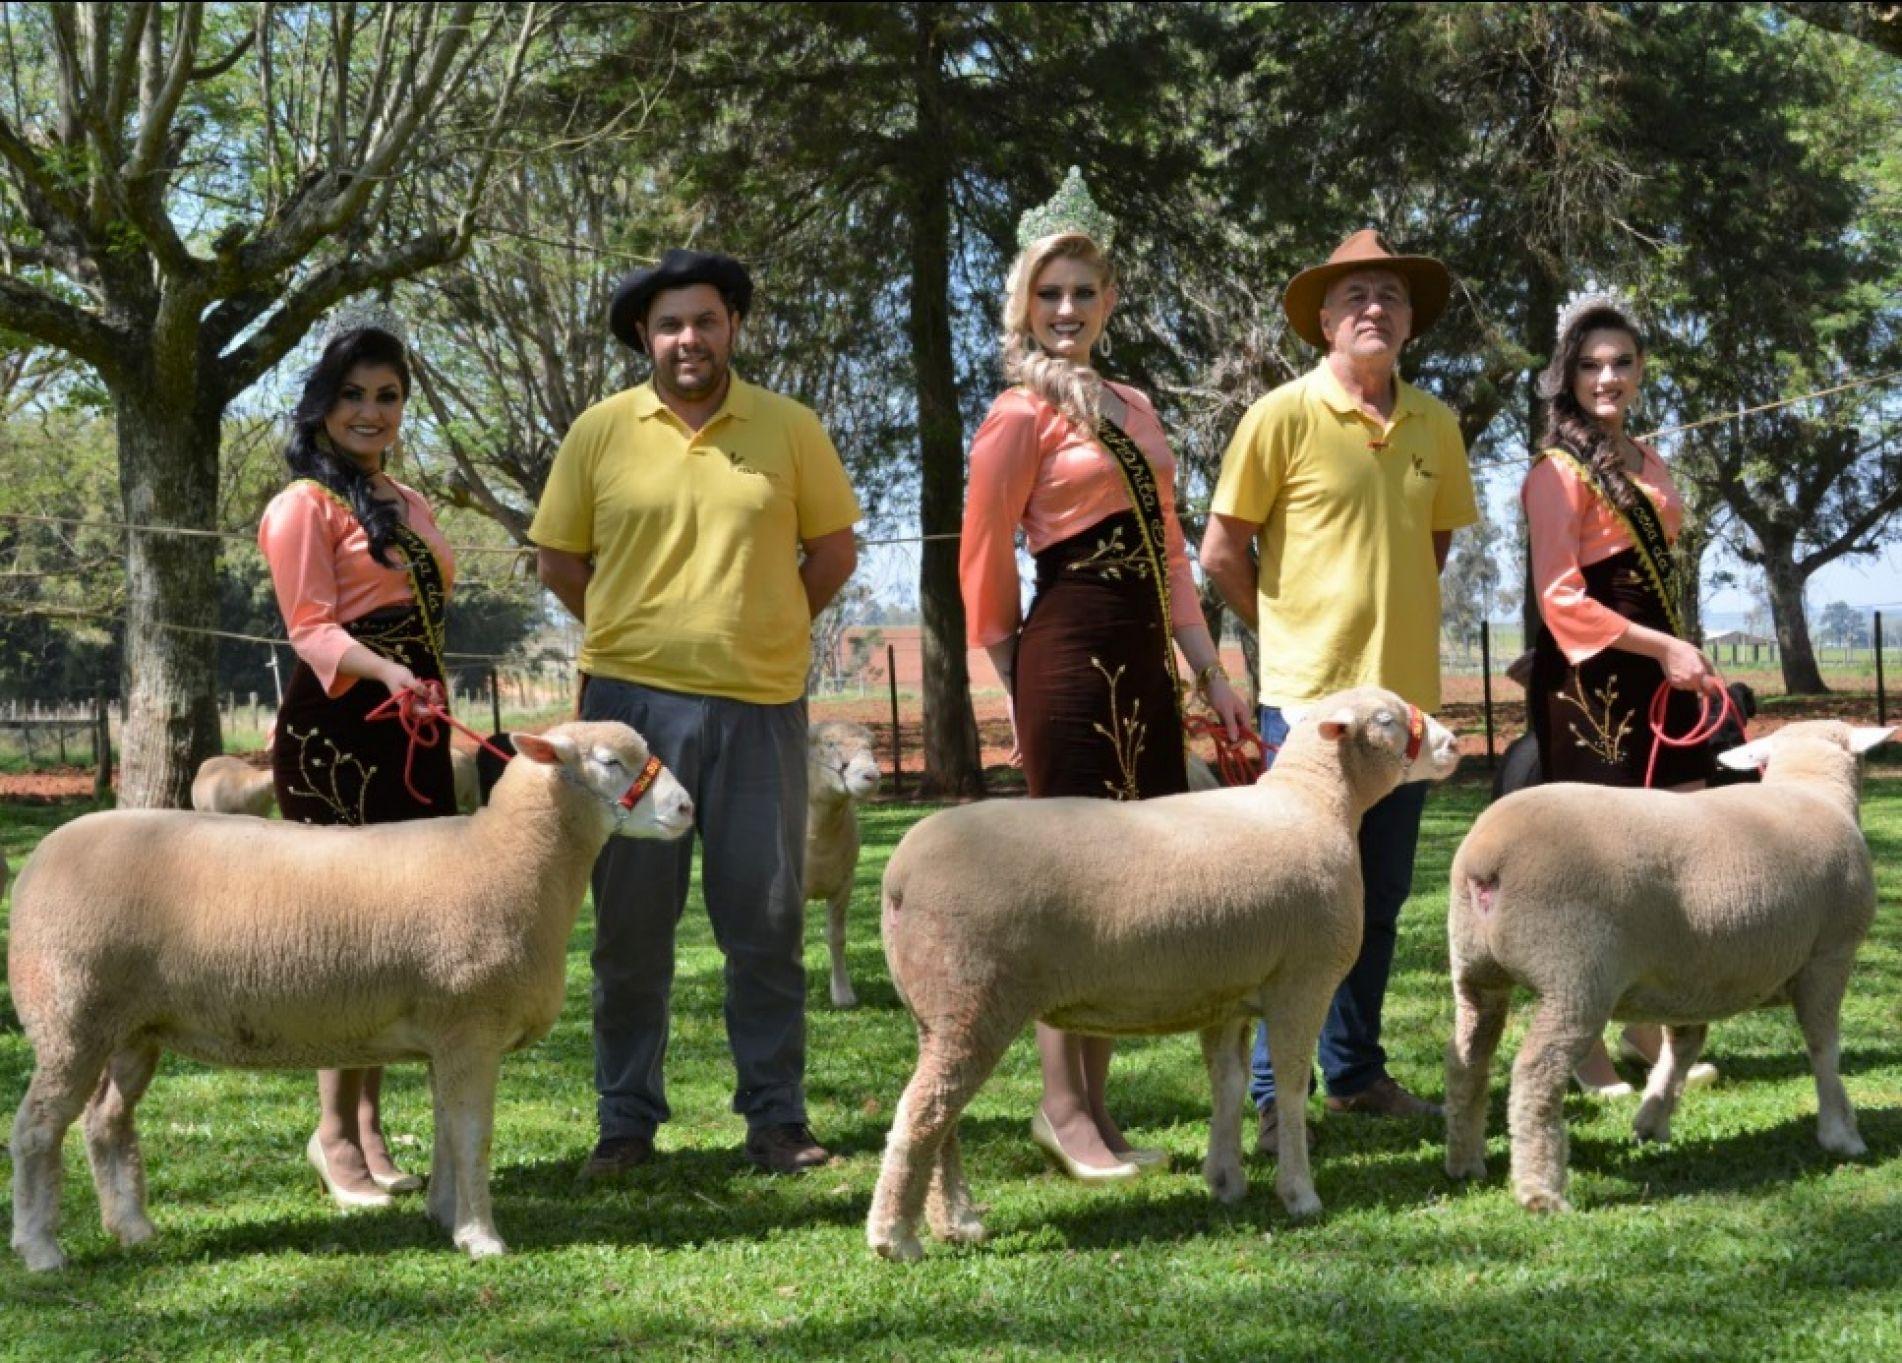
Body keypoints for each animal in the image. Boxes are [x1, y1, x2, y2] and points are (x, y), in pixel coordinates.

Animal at [7, 718, 692, 1269]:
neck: (511, 860)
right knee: (37, 1128)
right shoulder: (470, 1026)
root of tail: (39, 860)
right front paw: (481, 1238)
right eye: (609, 761)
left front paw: (444, 1215)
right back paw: (40, 1249)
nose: (687, 809)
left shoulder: (446, 1036)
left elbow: (447, 1128)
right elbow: (473, 1135)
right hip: (69, 1015)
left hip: (131, 1028)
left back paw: (133, 1228)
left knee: (106, 1123)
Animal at [806, 718, 886, 1003]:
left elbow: (836, 937)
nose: (871, 776)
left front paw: (843, 994)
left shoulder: (844, 884)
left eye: (871, 745)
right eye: (830, 744)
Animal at [871, 684, 1460, 1262]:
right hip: (971, 997)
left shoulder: (1229, 995)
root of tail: (899, 877)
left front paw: (1225, 1180)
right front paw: (1299, 1193)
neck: (1314, 804)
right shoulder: (1302, 983)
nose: (1453, 744)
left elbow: (1228, 1084)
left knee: (941, 1114)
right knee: (923, 1111)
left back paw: (957, 1224)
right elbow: (1291, 1088)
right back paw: (894, 1238)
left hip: (940, 1011)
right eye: (1385, 719)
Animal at [1437, 718, 1886, 1209]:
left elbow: (1682, 1049)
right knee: (1536, 1071)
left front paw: (1652, 1119)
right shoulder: (1829, 956)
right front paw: (1841, 1133)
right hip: (1575, 976)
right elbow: (1824, 1048)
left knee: (1466, 1062)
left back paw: (1464, 1161)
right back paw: (1541, 1191)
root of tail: (1487, 860)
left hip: (1475, 972)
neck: (1811, 787)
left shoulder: (1693, 979)